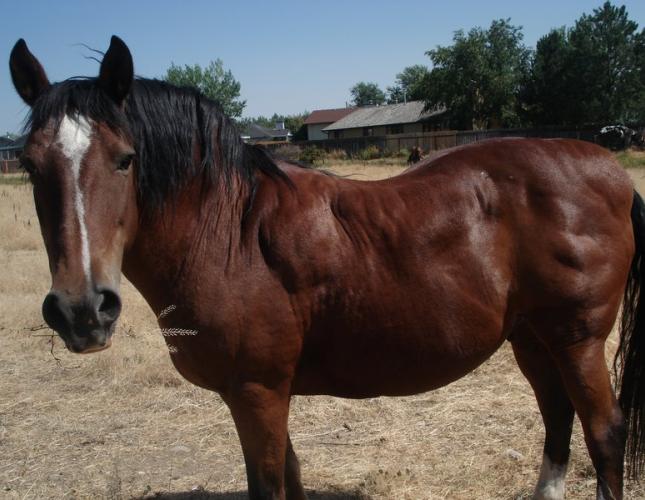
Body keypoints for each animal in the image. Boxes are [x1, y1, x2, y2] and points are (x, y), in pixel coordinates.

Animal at [8, 36, 644, 500]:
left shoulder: (257, 392)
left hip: (578, 339)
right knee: (558, 421)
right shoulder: (268, 394)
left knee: (603, 432)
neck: (229, 234)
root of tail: (607, 169)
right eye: (32, 165)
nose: (83, 310)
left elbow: (269, 485)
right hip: (533, 338)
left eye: (125, 159)